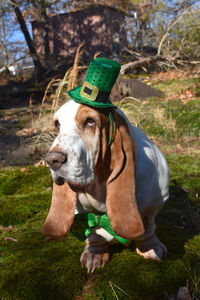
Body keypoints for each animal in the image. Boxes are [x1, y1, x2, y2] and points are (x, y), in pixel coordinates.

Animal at [43, 99, 169, 272]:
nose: (52, 160)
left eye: (90, 121)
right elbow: (94, 233)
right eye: (57, 124)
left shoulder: (155, 202)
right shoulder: (82, 214)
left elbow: (147, 229)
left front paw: (150, 247)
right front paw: (94, 254)